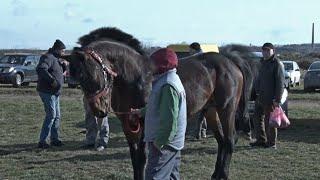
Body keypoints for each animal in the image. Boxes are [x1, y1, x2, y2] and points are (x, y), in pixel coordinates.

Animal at [65, 27, 252, 179]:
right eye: (78, 77)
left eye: (91, 74)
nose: (99, 111)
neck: (136, 77)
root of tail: (231, 61)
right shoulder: (128, 125)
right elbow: (134, 159)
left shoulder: (143, 124)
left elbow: (141, 159)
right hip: (211, 110)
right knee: (221, 141)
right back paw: (216, 174)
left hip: (227, 109)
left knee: (229, 140)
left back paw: (223, 174)